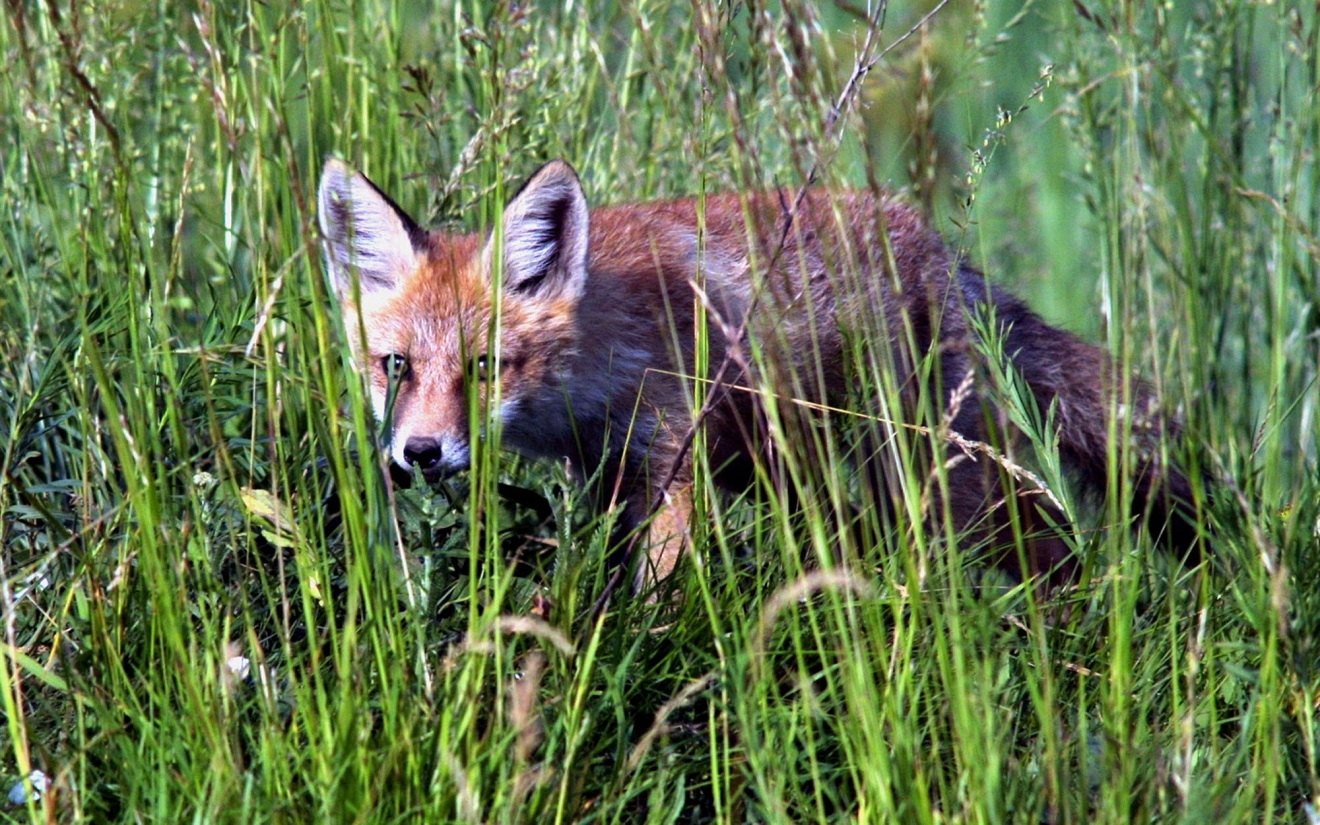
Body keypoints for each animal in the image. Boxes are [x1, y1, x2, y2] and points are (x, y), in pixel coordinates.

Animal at [318, 157, 1204, 593]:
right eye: (396, 366)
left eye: (488, 367)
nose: (421, 453)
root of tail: (936, 246)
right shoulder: (611, 474)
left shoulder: (673, 459)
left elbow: (657, 589)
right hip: (807, 471)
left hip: (931, 472)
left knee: (1047, 539)